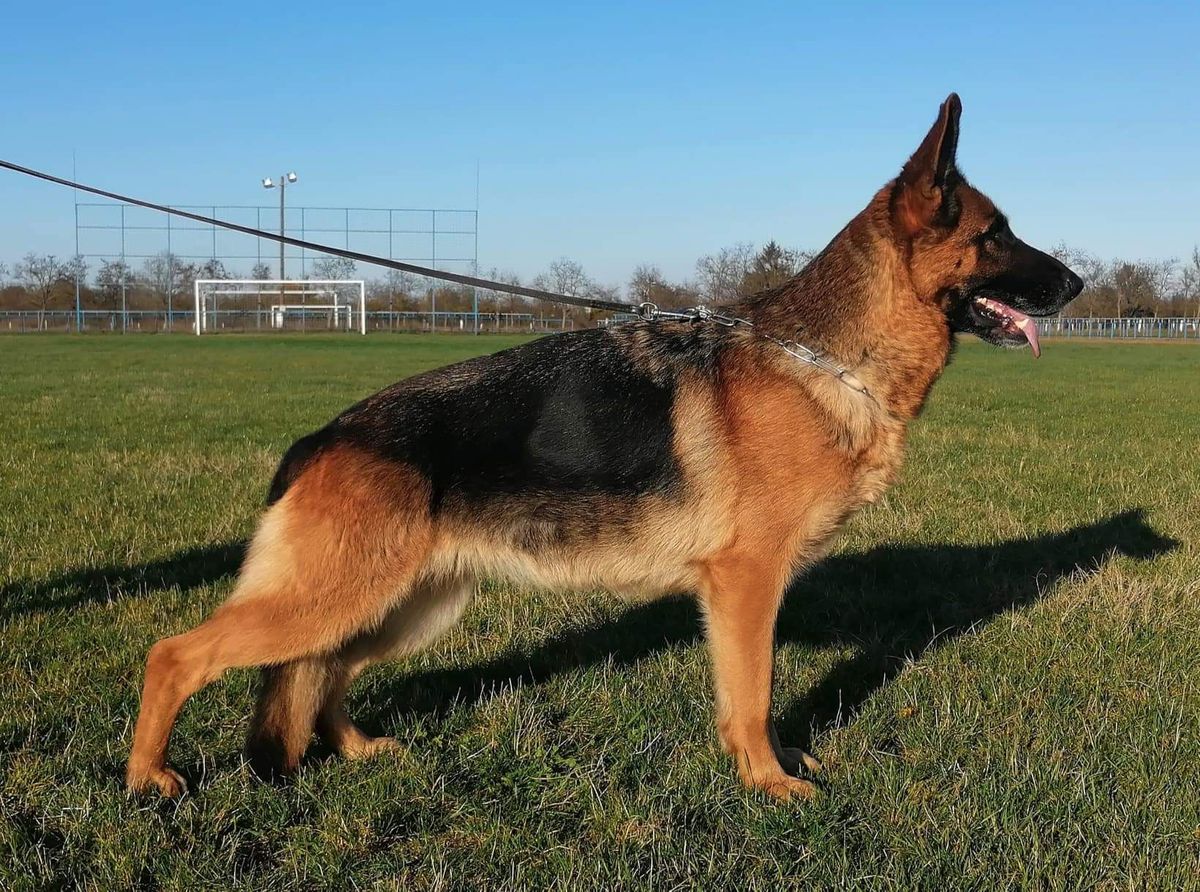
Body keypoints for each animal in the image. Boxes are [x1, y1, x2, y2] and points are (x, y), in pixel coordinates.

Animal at [126, 96, 1084, 801]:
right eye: (997, 235)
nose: (1078, 283)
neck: (830, 358)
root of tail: (320, 439)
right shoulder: (746, 586)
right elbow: (754, 697)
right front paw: (769, 784)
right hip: (335, 598)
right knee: (178, 655)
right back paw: (149, 778)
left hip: (403, 605)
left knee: (322, 674)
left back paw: (356, 749)